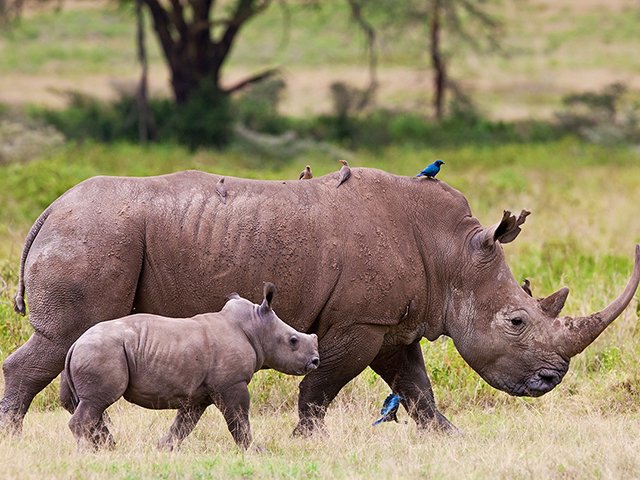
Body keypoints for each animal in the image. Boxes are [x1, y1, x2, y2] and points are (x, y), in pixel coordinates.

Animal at [60, 282, 319, 450]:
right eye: (293, 341)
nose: (315, 361)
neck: (256, 327)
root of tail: (75, 344)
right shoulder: (232, 383)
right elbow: (239, 418)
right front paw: (255, 451)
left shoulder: (199, 392)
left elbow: (184, 424)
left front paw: (164, 449)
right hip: (102, 351)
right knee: (97, 402)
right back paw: (88, 452)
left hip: (96, 350)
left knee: (94, 405)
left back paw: (107, 448)